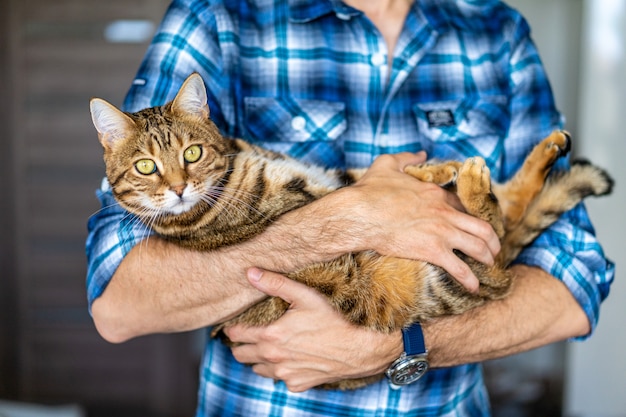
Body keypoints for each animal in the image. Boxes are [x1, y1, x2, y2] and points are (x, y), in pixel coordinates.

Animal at [90, 73, 612, 388]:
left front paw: (428, 168)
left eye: (192, 153)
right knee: (498, 252)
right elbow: (357, 193)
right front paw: (438, 174)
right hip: (446, 282)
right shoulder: (304, 201)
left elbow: (365, 174)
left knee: (513, 217)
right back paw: (475, 184)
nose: (179, 189)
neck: (235, 167)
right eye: (145, 167)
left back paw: (537, 152)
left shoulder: (328, 175)